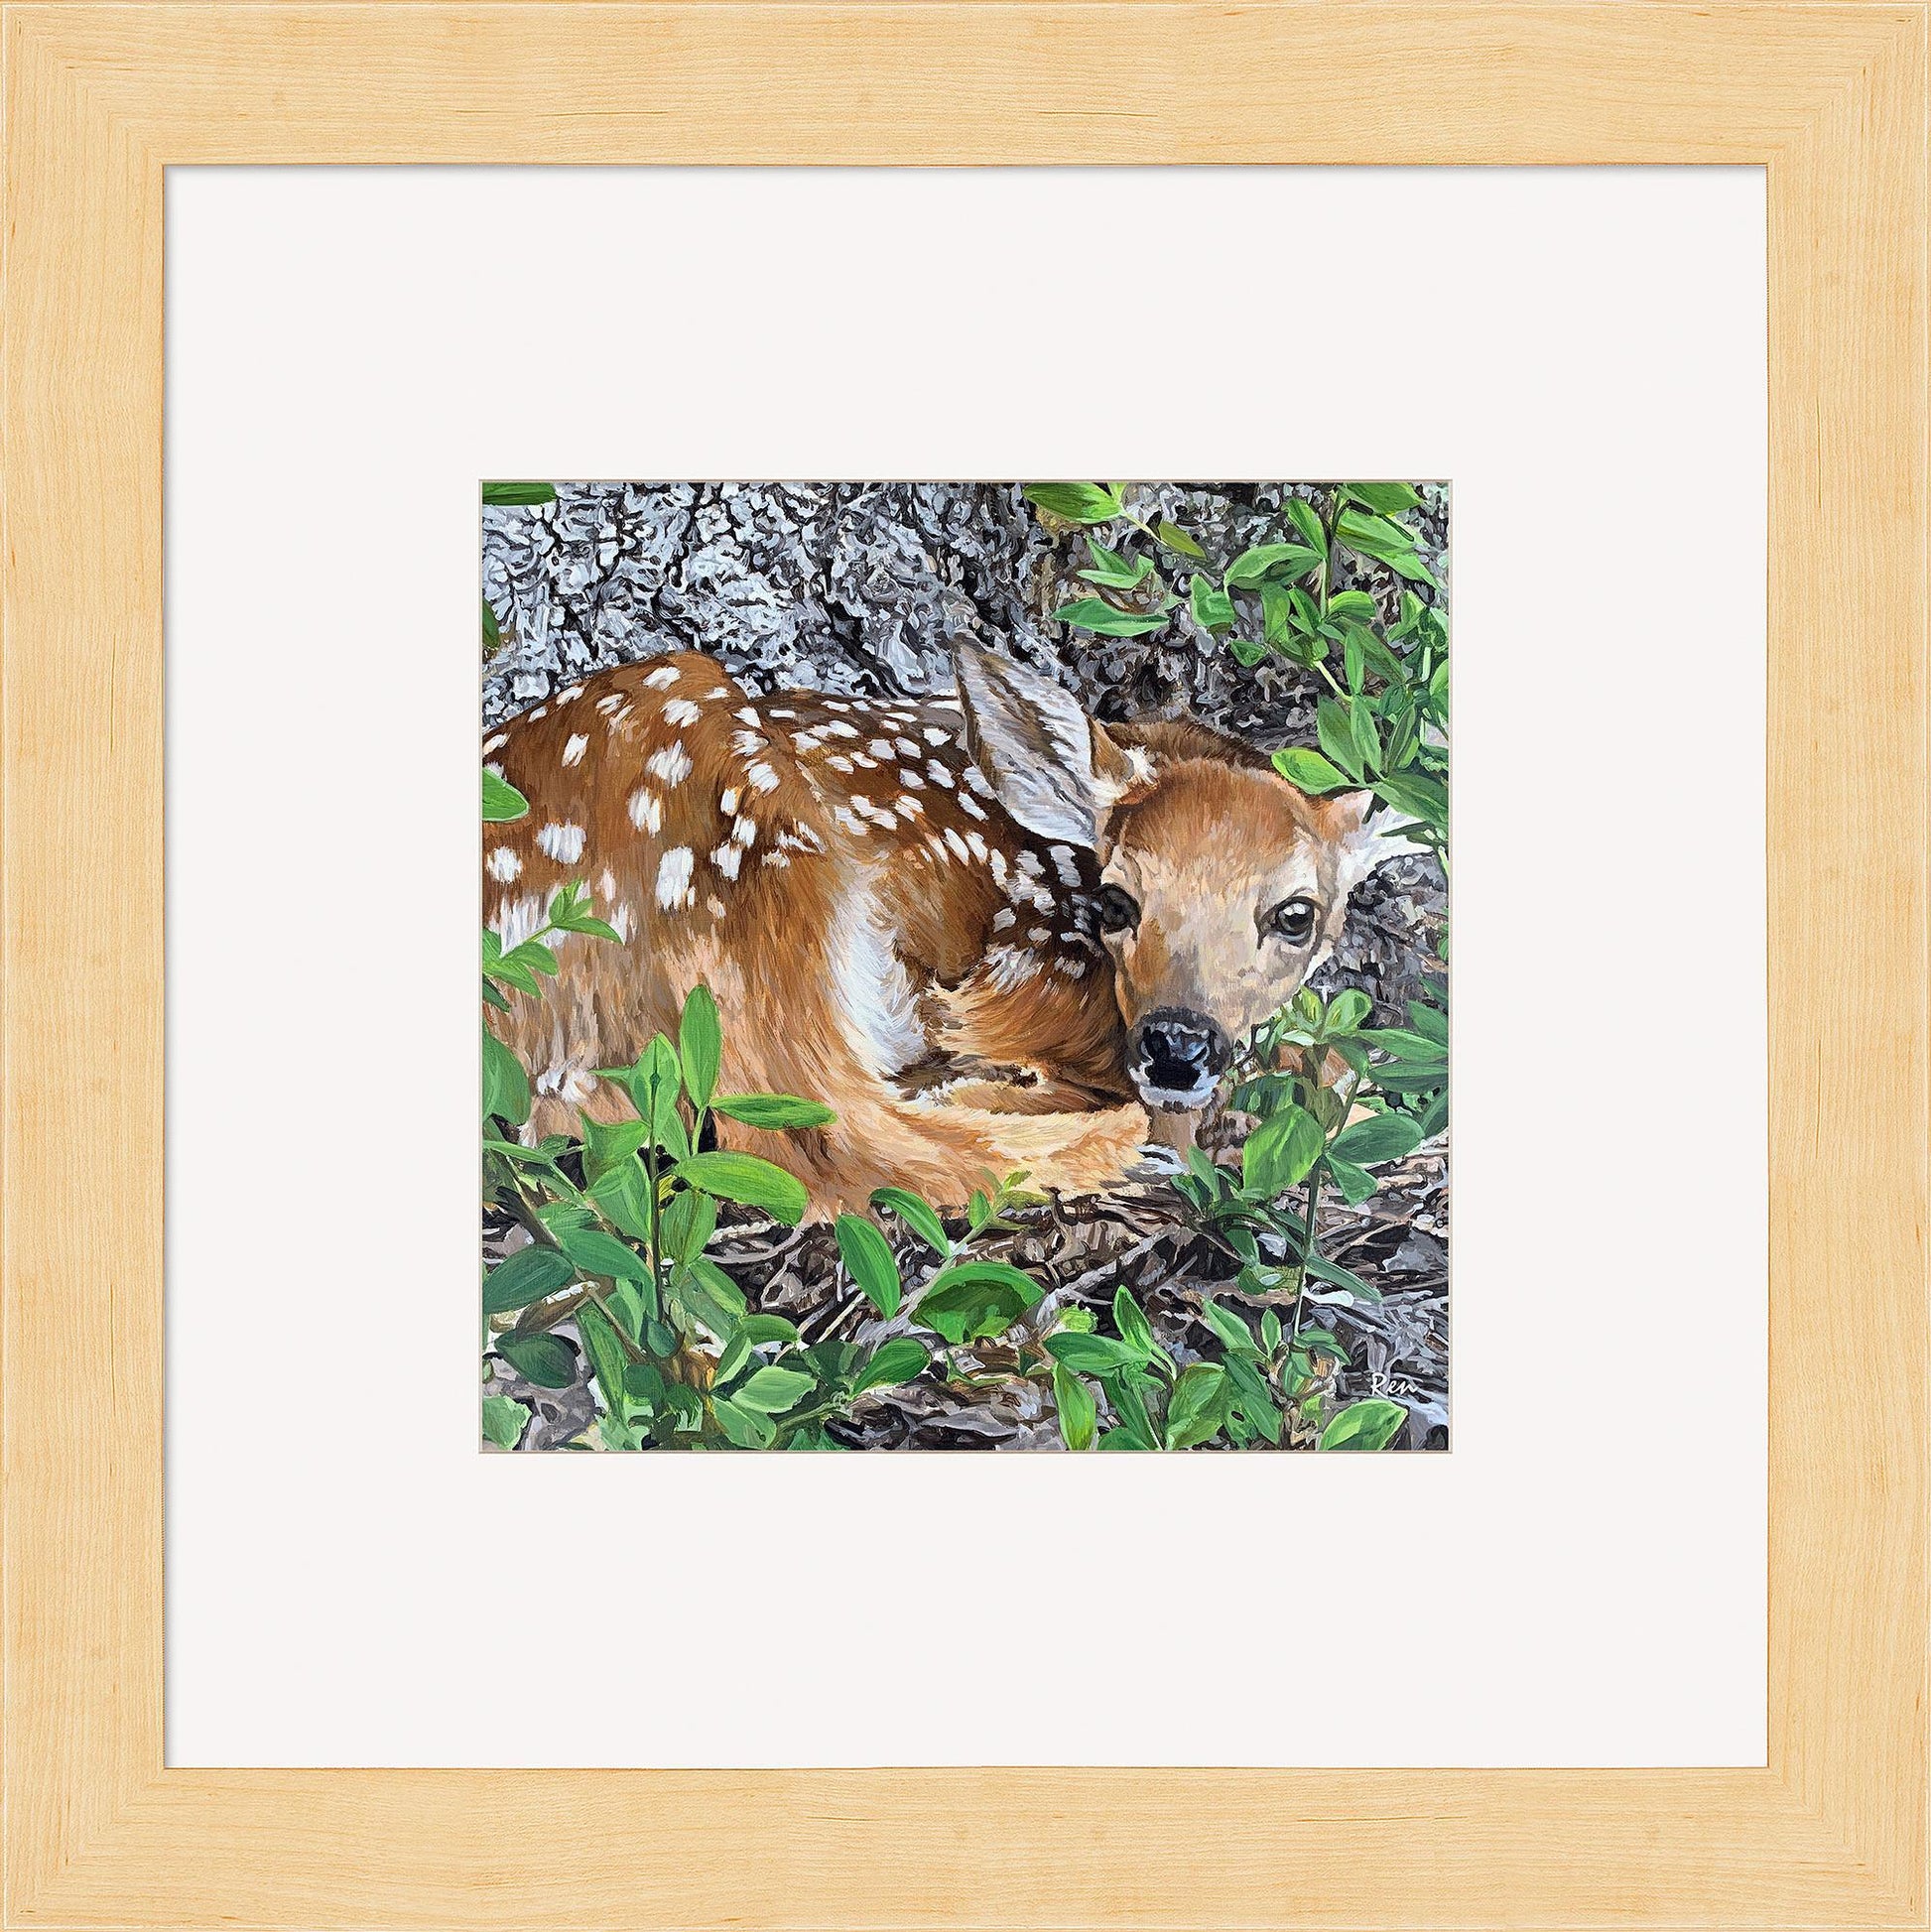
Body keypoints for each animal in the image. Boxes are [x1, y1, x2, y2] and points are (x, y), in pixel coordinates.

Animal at [482, 639, 1416, 1216]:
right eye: (1119, 901)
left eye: (1295, 915)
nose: (1176, 1044)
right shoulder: (1010, 978)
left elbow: (1338, 1066)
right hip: (747, 862)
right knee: (827, 1141)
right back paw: (1110, 1141)